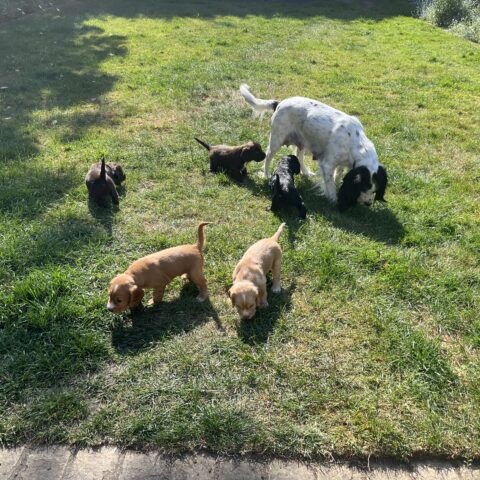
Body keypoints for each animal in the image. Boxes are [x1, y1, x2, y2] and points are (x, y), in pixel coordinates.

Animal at [239, 84, 387, 211]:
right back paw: (266, 174)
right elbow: (330, 185)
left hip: (302, 142)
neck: (355, 141)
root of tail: (279, 103)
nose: (368, 203)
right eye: (364, 187)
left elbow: (337, 176)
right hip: (276, 140)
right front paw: (334, 200)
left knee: (298, 156)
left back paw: (305, 172)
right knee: (268, 157)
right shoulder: (327, 164)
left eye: (374, 190)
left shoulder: (341, 164)